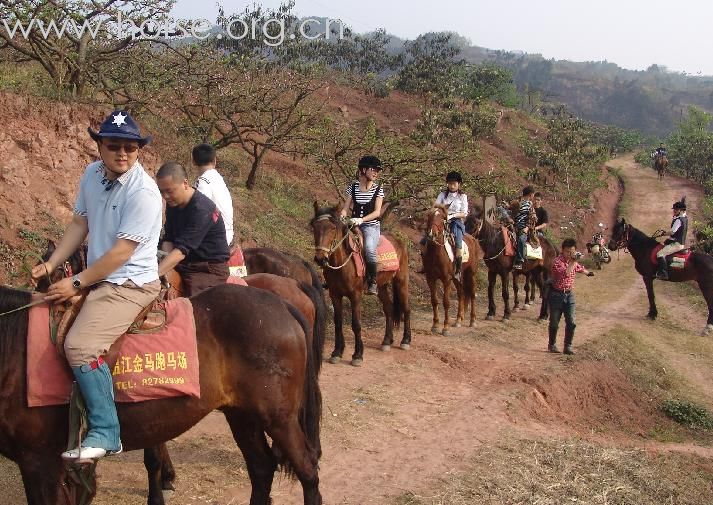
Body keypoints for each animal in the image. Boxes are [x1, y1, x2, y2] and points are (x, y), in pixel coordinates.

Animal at [0, 284, 322, 504]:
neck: (16, 351)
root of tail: (282, 304)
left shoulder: (40, 462)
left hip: (279, 418)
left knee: (306, 468)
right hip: (242, 415)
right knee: (261, 468)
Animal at [308, 201, 408, 362]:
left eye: (332, 228)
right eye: (315, 227)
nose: (320, 258)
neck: (342, 264)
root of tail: (399, 241)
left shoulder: (355, 295)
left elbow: (356, 324)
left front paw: (358, 354)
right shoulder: (335, 295)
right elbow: (338, 322)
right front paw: (337, 352)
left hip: (401, 281)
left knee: (406, 309)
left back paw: (406, 340)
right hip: (381, 286)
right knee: (389, 308)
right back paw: (387, 341)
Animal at [420, 205, 482, 334]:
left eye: (443, 218)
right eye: (429, 216)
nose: (431, 235)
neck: (436, 252)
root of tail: (473, 239)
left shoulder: (446, 279)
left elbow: (446, 302)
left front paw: (445, 327)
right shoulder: (430, 278)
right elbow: (434, 301)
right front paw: (435, 325)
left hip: (471, 274)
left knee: (472, 294)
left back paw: (472, 321)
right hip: (457, 276)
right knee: (461, 293)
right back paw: (458, 320)